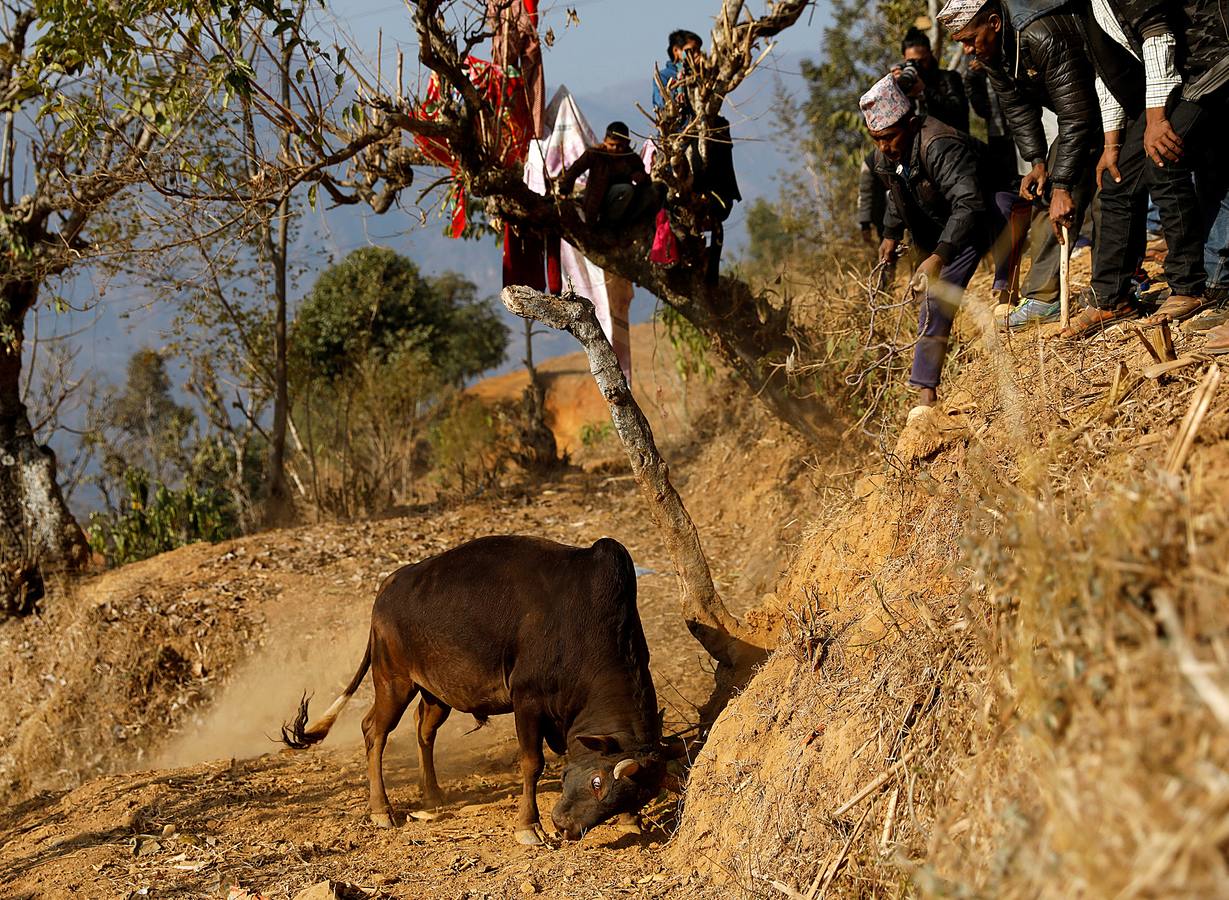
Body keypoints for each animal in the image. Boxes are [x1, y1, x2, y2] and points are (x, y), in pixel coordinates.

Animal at [281, 533, 678, 845]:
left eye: (636, 797)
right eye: (596, 782)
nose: (566, 827)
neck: (582, 626)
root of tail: (391, 581)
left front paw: (629, 820)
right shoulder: (527, 701)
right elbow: (532, 763)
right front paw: (529, 826)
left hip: (436, 692)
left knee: (423, 729)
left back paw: (432, 795)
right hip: (393, 679)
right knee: (374, 730)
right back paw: (382, 810)